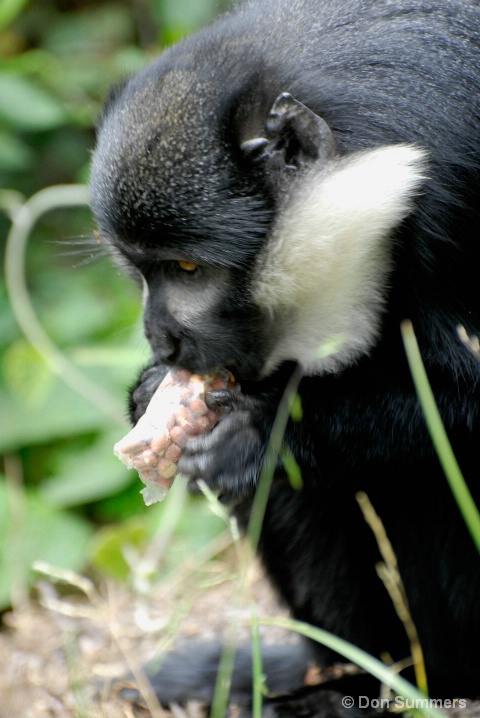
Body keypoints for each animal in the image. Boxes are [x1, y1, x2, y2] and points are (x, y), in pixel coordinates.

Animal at [89, 0, 480, 716]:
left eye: (188, 270)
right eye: (140, 268)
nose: (163, 340)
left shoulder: (458, 193)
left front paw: (261, 431)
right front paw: (156, 392)